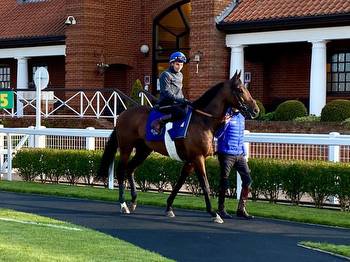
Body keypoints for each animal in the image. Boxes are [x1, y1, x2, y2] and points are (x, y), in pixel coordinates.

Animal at [97, 71, 258, 223]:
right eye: (240, 90)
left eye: (246, 88)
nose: (256, 110)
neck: (203, 120)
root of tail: (123, 114)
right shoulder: (198, 157)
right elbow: (205, 184)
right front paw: (214, 213)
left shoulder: (191, 160)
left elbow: (180, 181)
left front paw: (169, 207)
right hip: (126, 147)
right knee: (121, 171)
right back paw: (123, 204)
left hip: (144, 150)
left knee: (130, 169)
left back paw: (133, 201)